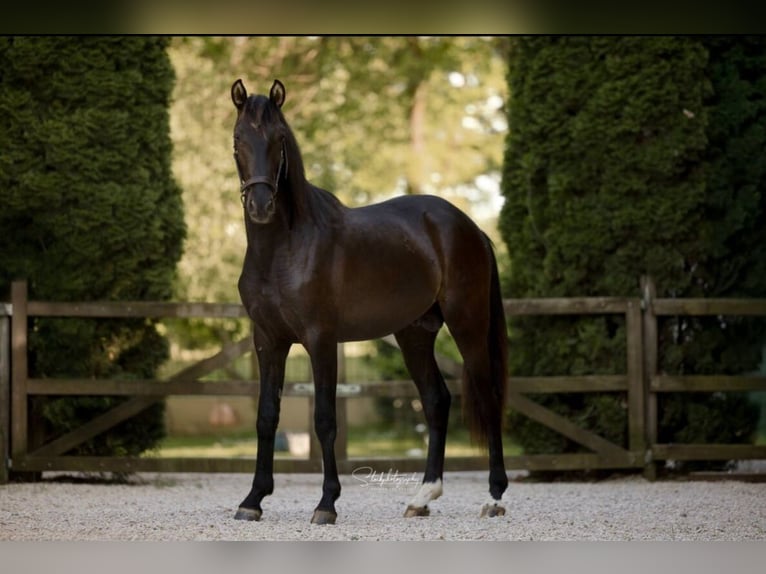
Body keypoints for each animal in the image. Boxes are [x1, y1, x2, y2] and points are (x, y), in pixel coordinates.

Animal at [230, 78, 509, 524]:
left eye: (278, 140)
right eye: (239, 139)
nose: (260, 206)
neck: (284, 248)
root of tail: (469, 227)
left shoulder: (321, 340)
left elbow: (325, 420)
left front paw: (326, 504)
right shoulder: (268, 340)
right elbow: (266, 416)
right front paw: (253, 499)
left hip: (468, 323)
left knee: (487, 395)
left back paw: (495, 497)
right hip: (415, 334)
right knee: (437, 401)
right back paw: (422, 497)